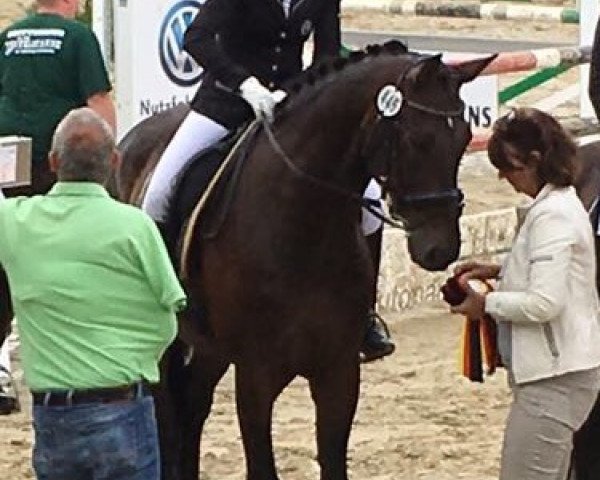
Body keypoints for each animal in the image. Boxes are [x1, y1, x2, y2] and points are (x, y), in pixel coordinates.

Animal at [119, 42, 494, 480]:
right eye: (417, 139)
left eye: (465, 137)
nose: (441, 249)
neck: (303, 224)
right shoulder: (255, 375)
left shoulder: (339, 371)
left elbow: (333, 461)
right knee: (169, 416)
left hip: (210, 349)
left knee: (193, 409)